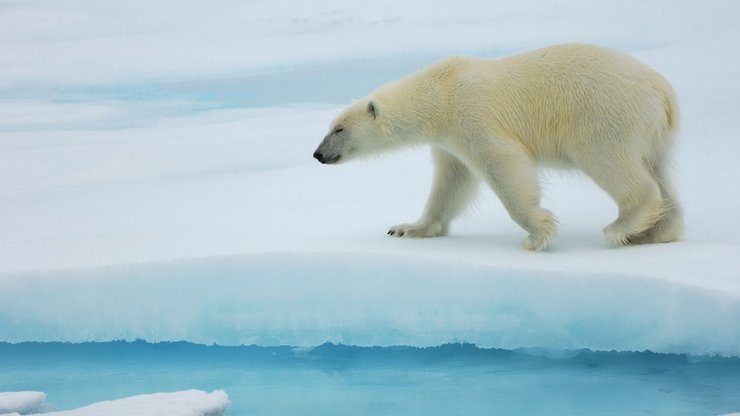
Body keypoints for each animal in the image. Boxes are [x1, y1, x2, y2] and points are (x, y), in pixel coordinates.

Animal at [312, 43, 684, 250]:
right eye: (329, 127)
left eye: (339, 129)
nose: (318, 154)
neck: (439, 92)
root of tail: (663, 91)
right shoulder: (448, 140)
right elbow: (451, 182)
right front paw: (408, 228)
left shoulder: (472, 115)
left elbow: (503, 163)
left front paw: (538, 233)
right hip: (654, 133)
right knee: (660, 172)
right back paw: (656, 232)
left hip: (605, 116)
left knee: (613, 164)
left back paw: (622, 227)